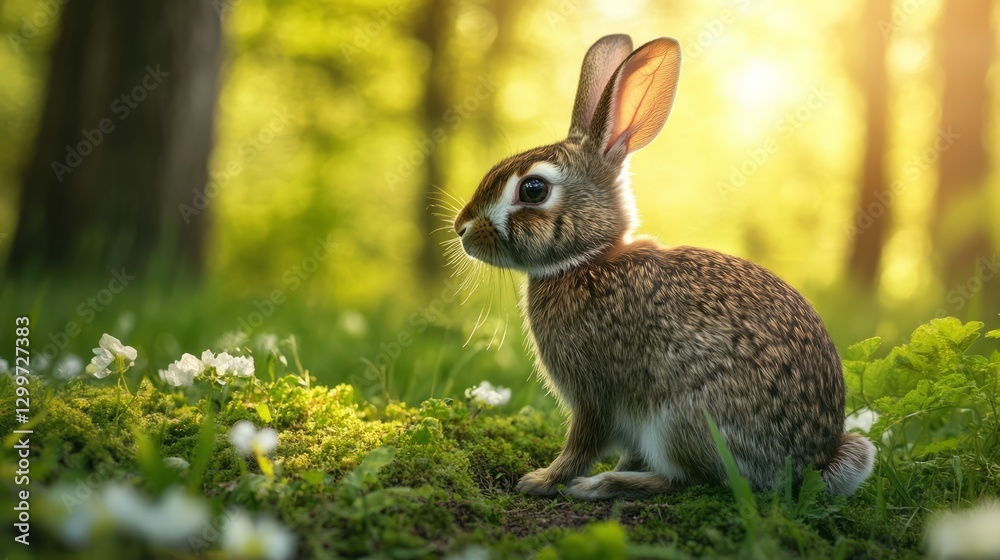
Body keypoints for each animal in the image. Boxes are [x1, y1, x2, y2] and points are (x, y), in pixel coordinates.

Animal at [451, 34, 876, 500]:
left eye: (532, 189)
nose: (461, 228)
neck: (587, 260)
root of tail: (812, 464)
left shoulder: (595, 394)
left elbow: (583, 442)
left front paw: (542, 480)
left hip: (680, 420)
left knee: (686, 478)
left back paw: (601, 484)